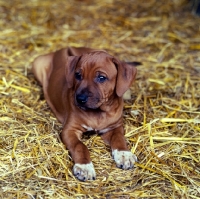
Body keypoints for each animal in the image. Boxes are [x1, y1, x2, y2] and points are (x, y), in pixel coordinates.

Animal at [32, 47, 138, 181]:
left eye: (101, 77)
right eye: (78, 75)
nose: (80, 99)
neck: (98, 112)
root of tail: (64, 48)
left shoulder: (115, 126)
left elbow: (119, 138)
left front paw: (124, 154)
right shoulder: (70, 130)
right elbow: (79, 146)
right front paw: (84, 167)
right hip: (37, 64)